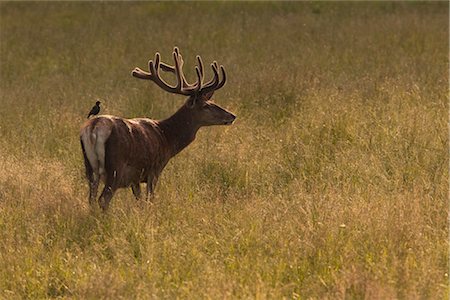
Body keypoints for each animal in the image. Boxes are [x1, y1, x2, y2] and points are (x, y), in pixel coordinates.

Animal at [80, 47, 236, 211]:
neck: (167, 137)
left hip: (90, 167)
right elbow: (150, 199)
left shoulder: (136, 178)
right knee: (103, 199)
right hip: (116, 167)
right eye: (206, 106)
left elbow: (140, 200)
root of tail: (94, 128)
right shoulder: (154, 169)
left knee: (91, 198)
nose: (232, 116)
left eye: (212, 101)